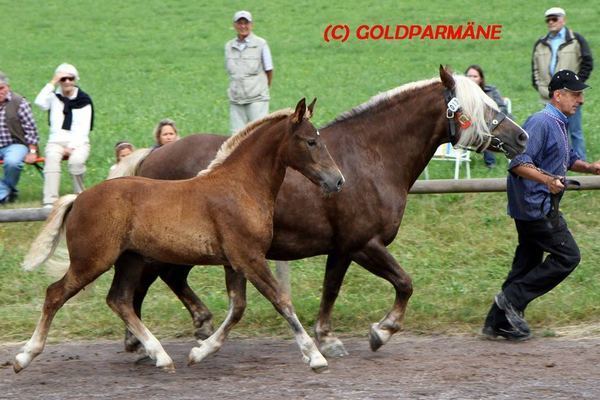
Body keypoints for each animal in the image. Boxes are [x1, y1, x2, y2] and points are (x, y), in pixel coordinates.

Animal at [15, 98, 342, 374]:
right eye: (311, 141)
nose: (337, 180)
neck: (241, 186)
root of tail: (79, 198)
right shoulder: (249, 257)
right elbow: (281, 300)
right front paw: (315, 357)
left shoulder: (235, 262)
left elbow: (237, 308)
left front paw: (199, 351)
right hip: (92, 261)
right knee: (55, 294)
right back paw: (24, 357)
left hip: (131, 259)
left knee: (119, 299)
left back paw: (160, 355)